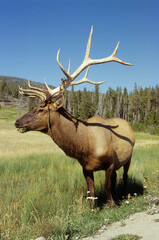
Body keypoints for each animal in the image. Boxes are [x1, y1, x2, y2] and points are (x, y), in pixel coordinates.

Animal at [14, 25, 135, 206]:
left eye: (41, 110)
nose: (17, 122)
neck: (84, 146)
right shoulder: (85, 167)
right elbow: (91, 190)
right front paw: (93, 207)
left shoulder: (111, 162)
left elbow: (106, 185)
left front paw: (112, 204)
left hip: (129, 156)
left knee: (125, 176)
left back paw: (125, 194)